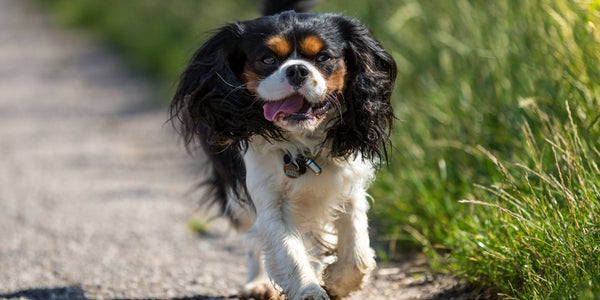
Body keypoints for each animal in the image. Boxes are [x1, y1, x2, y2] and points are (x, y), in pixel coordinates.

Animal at [170, 1, 394, 298]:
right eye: (268, 60)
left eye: (323, 57)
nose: (297, 70)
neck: (303, 144)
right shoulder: (269, 202)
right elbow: (288, 253)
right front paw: (311, 290)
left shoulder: (350, 185)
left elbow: (357, 250)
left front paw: (336, 280)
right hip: (236, 198)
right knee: (254, 238)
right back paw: (259, 284)